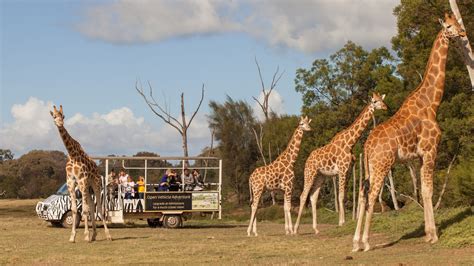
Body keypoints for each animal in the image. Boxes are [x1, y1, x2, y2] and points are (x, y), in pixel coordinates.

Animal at [50, 105, 112, 242]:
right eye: (54, 116)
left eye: (63, 116)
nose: (60, 124)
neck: (73, 155)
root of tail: (97, 169)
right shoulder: (71, 182)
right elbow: (74, 209)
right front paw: (72, 237)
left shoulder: (82, 180)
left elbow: (84, 210)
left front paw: (86, 235)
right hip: (87, 187)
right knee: (92, 206)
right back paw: (94, 235)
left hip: (95, 184)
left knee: (99, 207)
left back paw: (107, 235)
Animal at [292, 92, 388, 234]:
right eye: (375, 101)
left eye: (382, 99)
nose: (385, 107)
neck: (350, 143)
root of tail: (307, 160)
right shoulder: (342, 170)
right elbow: (341, 195)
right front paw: (342, 222)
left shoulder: (348, 171)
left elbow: (343, 196)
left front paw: (342, 221)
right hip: (309, 173)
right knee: (303, 195)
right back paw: (295, 229)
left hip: (320, 177)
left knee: (313, 197)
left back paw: (316, 229)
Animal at [352, 14, 466, 251]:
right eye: (449, 25)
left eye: (456, 23)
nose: (463, 33)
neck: (432, 102)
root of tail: (367, 145)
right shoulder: (431, 150)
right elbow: (429, 190)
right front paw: (434, 236)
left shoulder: (421, 155)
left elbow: (423, 190)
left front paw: (428, 234)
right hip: (383, 164)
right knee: (372, 195)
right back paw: (366, 243)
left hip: (370, 168)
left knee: (363, 194)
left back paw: (356, 242)